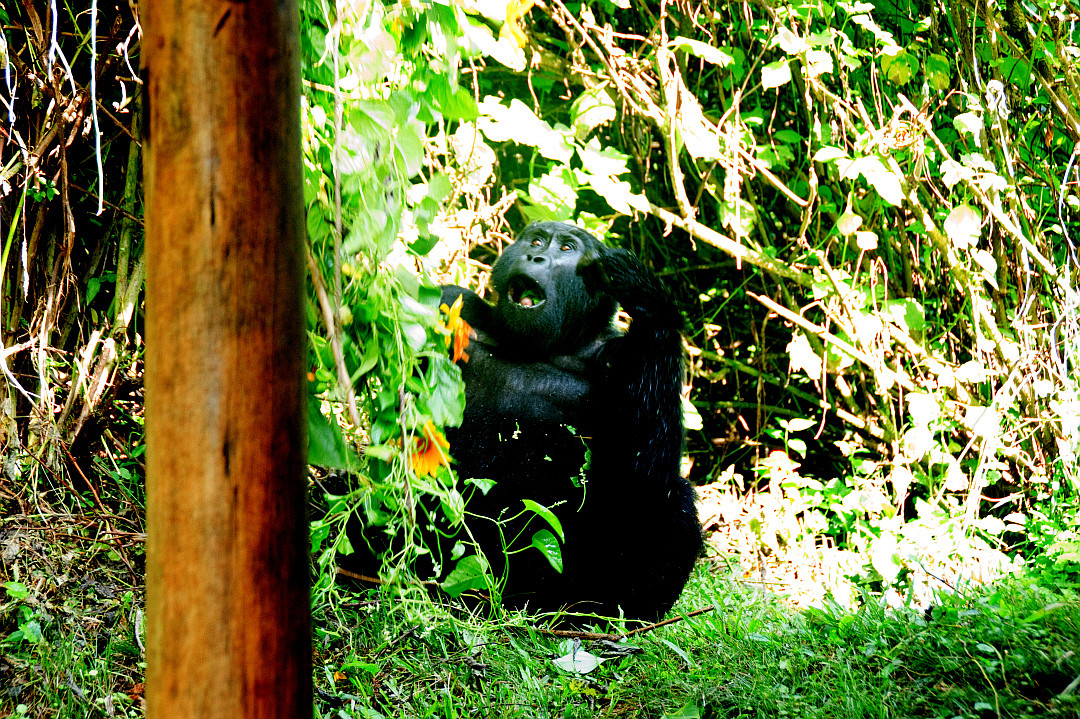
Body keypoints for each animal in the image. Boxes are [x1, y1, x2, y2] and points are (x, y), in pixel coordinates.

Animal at [436, 221, 699, 617]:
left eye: (565, 249)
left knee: (674, 503)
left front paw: (646, 295)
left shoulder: (622, 355)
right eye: (537, 241)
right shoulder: (453, 301)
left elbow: (644, 477)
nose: (536, 256)